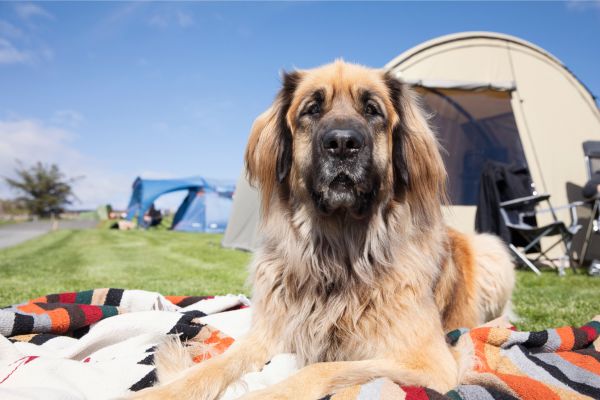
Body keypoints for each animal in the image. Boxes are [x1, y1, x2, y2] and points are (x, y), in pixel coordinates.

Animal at [132, 60, 516, 400]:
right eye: (312, 110)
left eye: (372, 111)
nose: (343, 143)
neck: (338, 251)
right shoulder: (269, 332)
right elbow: (216, 365)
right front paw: (161, 392)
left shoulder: (428, 362)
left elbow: (318, 369)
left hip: (493, 250)